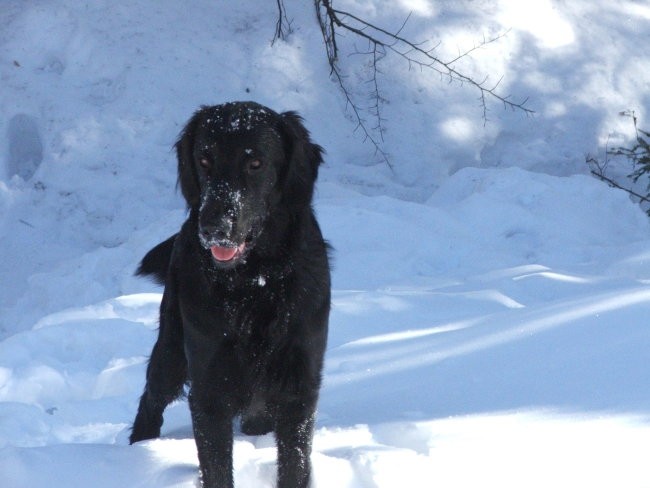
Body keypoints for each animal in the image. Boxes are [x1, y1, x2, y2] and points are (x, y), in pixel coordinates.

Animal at [128, 100, 330, 488]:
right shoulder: (209, 386)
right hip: (172, 350)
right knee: (151, 398)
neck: (253, 283)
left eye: (256, 163)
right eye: (205, 159)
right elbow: (216, 467)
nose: (213, 228)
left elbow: (294, 463)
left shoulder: (299, 383)